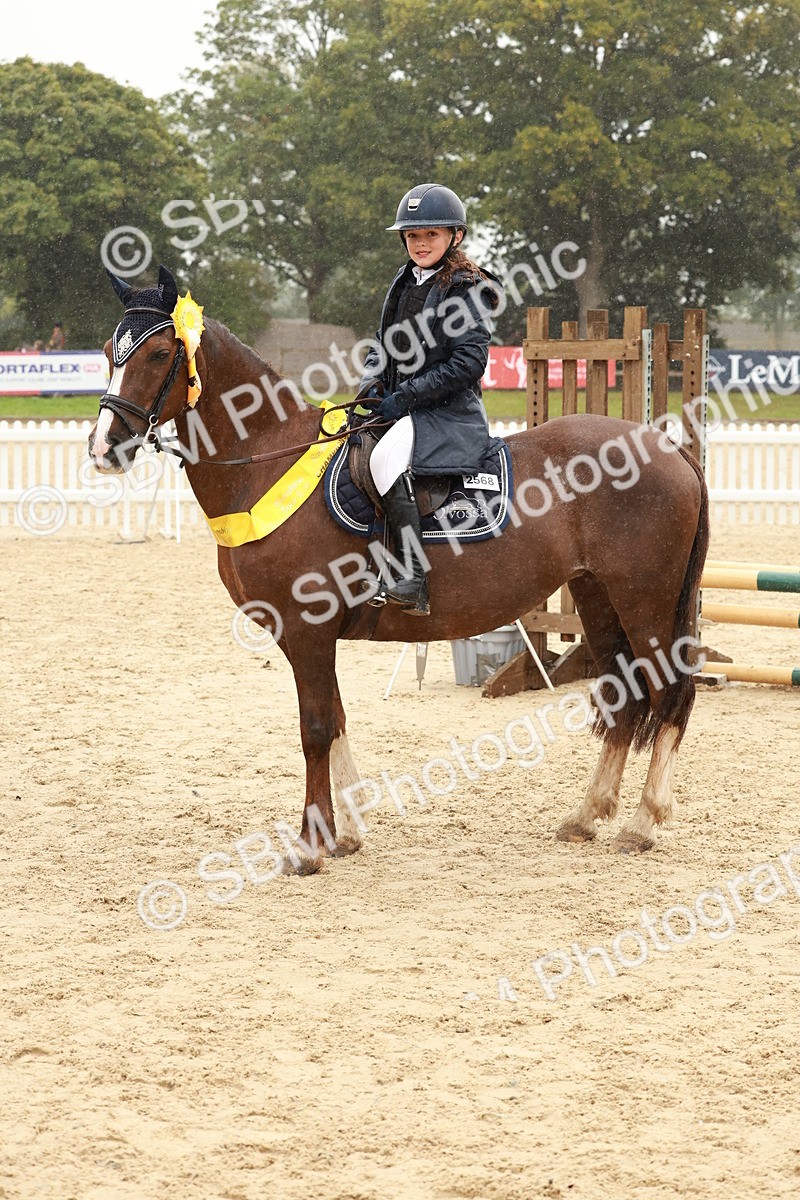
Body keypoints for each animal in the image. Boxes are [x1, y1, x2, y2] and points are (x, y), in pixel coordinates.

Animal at [89, 265, 709, 872]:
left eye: (158, 353)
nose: (104, 448)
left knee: (668, 694)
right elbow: (337, 720)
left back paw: (642, 823)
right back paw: (586, 816)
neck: (267, 463)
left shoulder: (307, 632)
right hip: (597, 597)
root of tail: (667, 448)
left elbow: (315, 729)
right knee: (624, 697)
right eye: (109, 350)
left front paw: (310, 847)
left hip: (643, 602)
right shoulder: (307, 638)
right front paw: (347, 833)